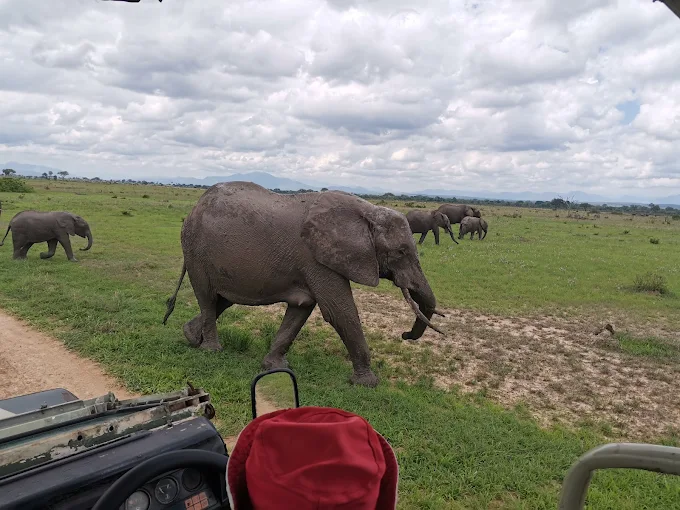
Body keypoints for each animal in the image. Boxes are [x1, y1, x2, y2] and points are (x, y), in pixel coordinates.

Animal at [163, 182, 445, 388]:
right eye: (400, 252)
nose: (405, 335)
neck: (367, 211)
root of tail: (193, 209)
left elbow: (302, 308)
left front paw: (275, 367)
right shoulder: (317, 258)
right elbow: (339, 312)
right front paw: (367, 383)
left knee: (222, 299)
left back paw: (190, 336)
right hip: (196, 251)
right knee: (208, 297)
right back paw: (212, 350)